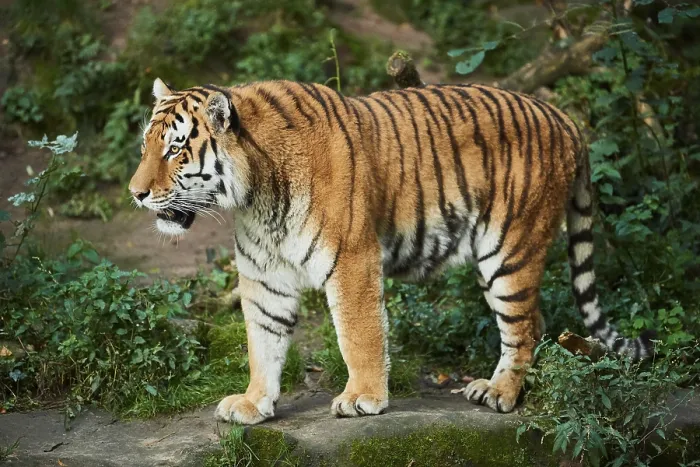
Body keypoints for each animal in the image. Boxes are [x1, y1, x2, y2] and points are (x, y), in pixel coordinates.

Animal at [129, 77, 654, 424]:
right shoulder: (265, 275)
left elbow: (358, 334)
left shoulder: (351, 259)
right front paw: (254, 402)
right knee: (537, 322)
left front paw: (363, 398)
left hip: (510, 250)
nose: (135, 193)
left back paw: (501, 393)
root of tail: (564, 118)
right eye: (145, 147)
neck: (255, 196)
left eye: (175, 149)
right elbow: (263, 341)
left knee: (524, 326)